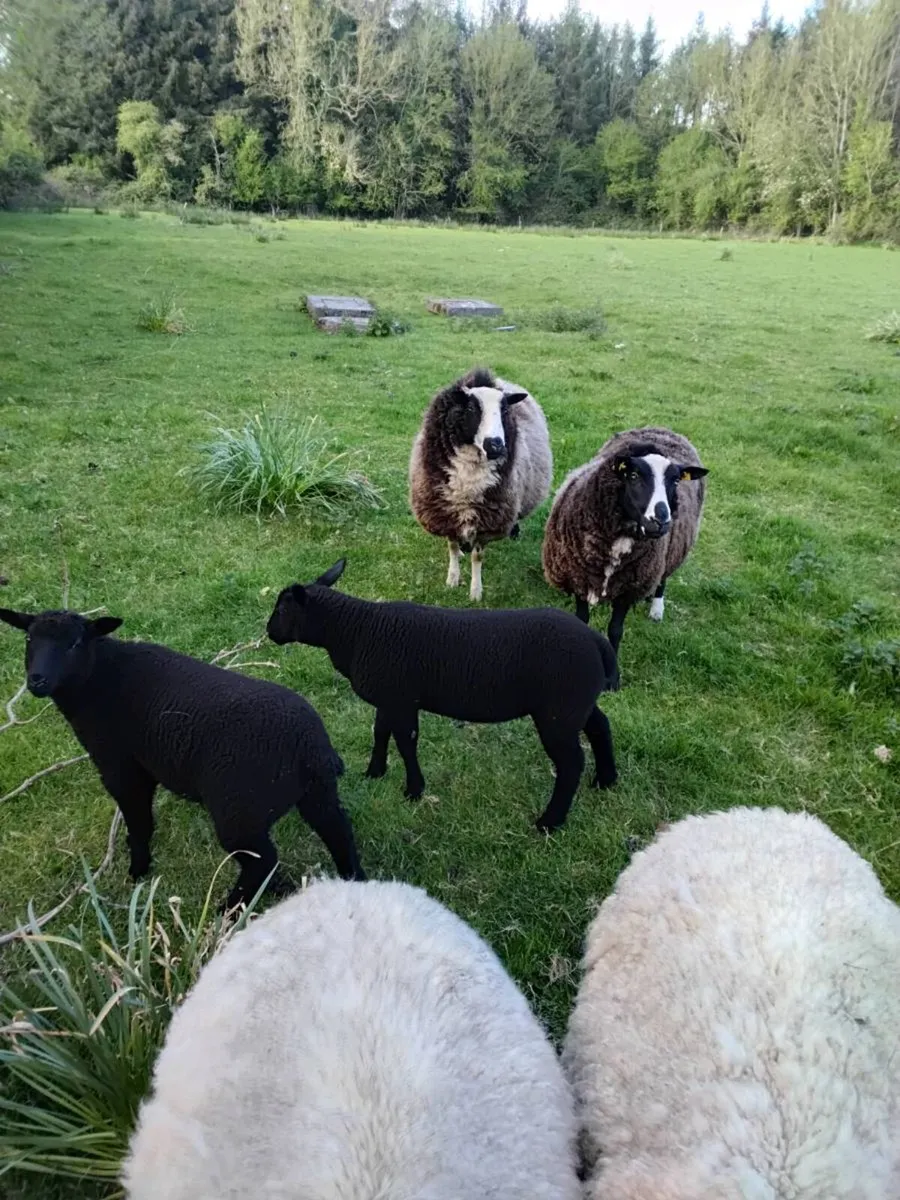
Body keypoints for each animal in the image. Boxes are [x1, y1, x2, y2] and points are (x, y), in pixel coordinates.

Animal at [0, 607, 365, 908]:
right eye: (29, 639)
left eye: (75, 644)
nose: (37, 680)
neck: (97, 679)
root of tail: (311, 748)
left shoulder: (120, 765)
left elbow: (139, 821)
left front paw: (138, 871)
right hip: (316, 794)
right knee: (338, 832)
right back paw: (353, 884)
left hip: (238, 809)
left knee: (263, 861)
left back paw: (225, 911)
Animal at [266, 559, 619, 833]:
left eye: (281, 609)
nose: (269, 632)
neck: (356, 630)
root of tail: (596, 641)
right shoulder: (389, 697)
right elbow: (381, 733)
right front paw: (374, 772)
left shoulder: (401, 699)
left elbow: (406, 742)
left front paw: (413, 790)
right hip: (576, 703)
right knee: (601, 726)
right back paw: (606, 779)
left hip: (558, 711)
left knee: (571, 763)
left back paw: (550, 821)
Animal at [409, 366, 553, 601]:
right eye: (470, 408)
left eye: (504, 410)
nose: (496, 445)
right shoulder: (446, 512)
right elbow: (451, 546)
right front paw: (452, 579)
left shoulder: (489, 518)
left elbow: (477, 557)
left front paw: (476, 591)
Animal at [542, 426, 708, 654]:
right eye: (633, 475)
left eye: (675, 480)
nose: (661, 521)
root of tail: (662, 428)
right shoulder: (578, 579)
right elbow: (582, 620)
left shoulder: (627, 591)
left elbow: (615, 630)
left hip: (670, 552)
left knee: (663, 578)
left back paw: (657, 608)